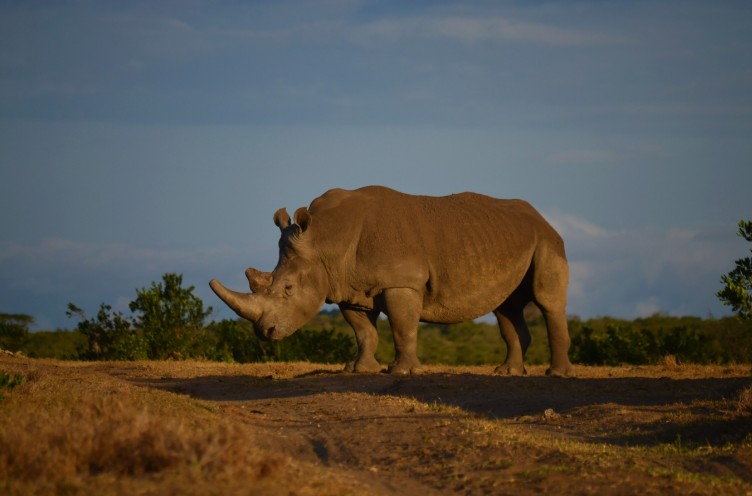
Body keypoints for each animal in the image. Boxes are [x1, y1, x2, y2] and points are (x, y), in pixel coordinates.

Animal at [210, 185, 574, 377]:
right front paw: (359, 370)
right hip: (510, 240)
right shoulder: (348, 288)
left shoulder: (402, 281)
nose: (265, 332)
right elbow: (364, 331)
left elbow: (402, 327)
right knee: (506, 307)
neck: (325, 239)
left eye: (288, 289)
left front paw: (401, 372)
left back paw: (556, 374)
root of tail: (543, 218)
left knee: (546, 301)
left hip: (547, 241)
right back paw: (507, 372)